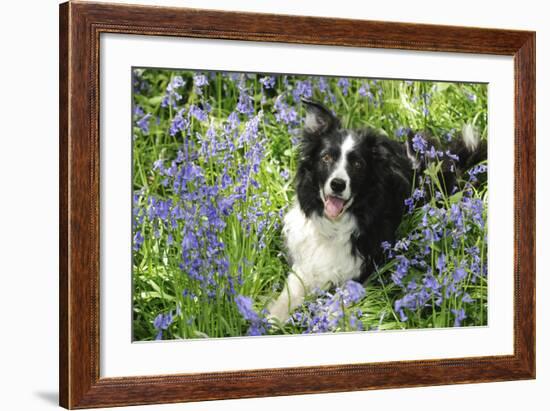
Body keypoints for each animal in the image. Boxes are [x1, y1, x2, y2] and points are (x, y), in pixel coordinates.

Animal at [268, 98, 488, 324]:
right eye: (326, 158)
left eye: (357, 164)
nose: (338, 184)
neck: (334, 226)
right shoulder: (306, 262)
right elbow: (289, 292)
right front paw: (271, 319)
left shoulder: (366, 268)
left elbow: (334, 304)